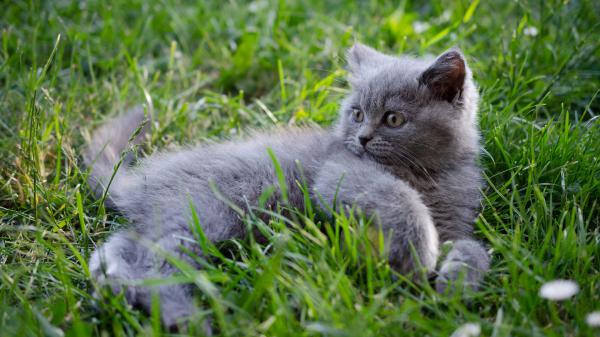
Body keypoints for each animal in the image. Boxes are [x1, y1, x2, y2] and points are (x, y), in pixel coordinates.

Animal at [83, 43, 488, 326]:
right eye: (357, 113)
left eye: (393, 119)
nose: (362, 138)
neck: (425, 174)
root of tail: (143, 178)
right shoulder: (340, 172)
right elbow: (395, 195)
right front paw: (418, 250)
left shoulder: (454, 219)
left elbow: (474, 247)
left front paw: (457, 283)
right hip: (208, 213)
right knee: (159, 261)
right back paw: (181, 316)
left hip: (175, 216)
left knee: (122, 247)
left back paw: (117, 285)